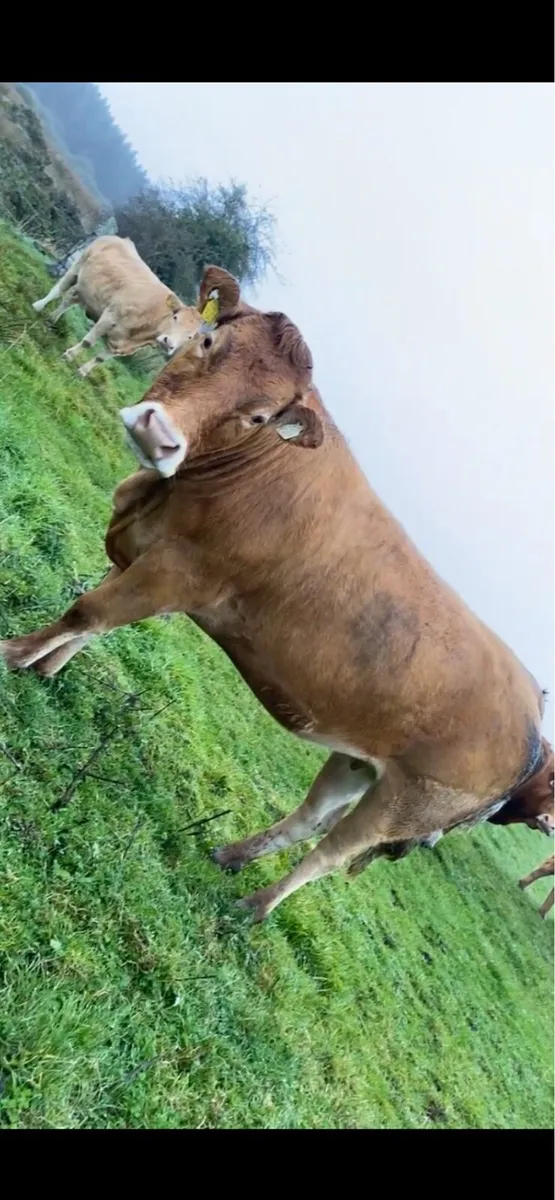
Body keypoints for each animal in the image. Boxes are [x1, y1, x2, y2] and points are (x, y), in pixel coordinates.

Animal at [3, 264, 554, 924]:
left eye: (261, 416)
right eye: (208, 342)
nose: (157, 433)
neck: (165, 494)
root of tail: (533, 718)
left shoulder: (178, 575)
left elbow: (86, 611)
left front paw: (13, 656)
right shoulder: (145, 551)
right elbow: (91, 622)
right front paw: (45, 667)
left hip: (408, 804)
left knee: (334, 852)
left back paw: (255, 904)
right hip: (360, 761)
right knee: (310, 818)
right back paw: (231, 855)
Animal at [32, 235, 202, 378]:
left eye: (190, 337)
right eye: (175, 317)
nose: (169, 343)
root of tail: (121, 239)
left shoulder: (124, 347)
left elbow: (100, 359)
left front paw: (82, 372)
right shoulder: (109, 317)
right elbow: (88, 342)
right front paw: (69, 356)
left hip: (88, 290)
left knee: (68, 300)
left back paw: (52, 319)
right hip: (78, 266)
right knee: (58, 290)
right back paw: (37, 307)